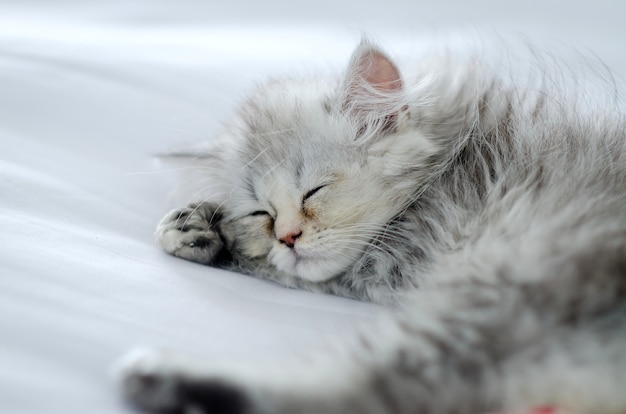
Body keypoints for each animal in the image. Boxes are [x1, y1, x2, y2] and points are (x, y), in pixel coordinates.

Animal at [116, 39, 624, 414]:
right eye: (262, 213)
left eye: (313, 192)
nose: (287, 237)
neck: (456, 150)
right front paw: (202, 227)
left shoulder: (388, 260)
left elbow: (296, 273)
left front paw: (202, 229)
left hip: (505, 284)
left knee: (378, 385)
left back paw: (161, 377)